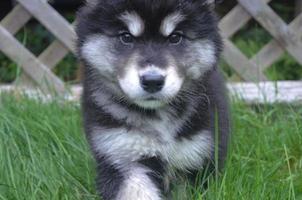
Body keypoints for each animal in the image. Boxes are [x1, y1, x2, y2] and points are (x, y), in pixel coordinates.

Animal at [75, 0, 229, 199]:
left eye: (175, 37)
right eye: (126, 37)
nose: (152, 81)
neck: (158, 115)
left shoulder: (193, 157)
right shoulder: (125, 156)